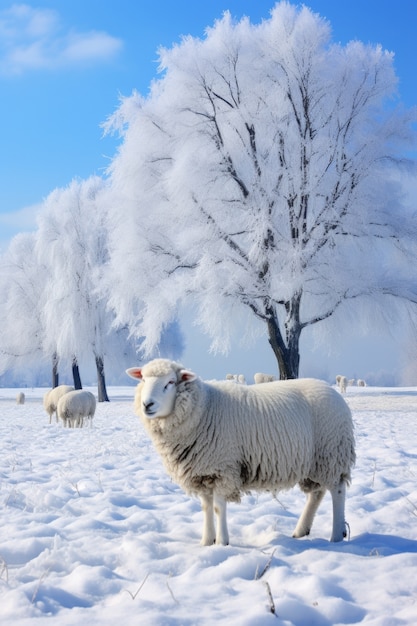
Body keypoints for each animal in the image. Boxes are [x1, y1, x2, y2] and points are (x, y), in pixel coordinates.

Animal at [126, 358, 354, 544]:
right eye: (143, 379)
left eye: (170, 383)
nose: (147, 404)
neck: (204, 408)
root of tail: (334, 393)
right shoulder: (202, 472)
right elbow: (206, 507)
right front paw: (206, 542)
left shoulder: (222, 468)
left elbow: (218, 507)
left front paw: (222, 543)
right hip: (315, 461)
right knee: (316, 493)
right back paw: (301, 530)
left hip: (332, 452)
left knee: (337, 491)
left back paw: (336, 535)